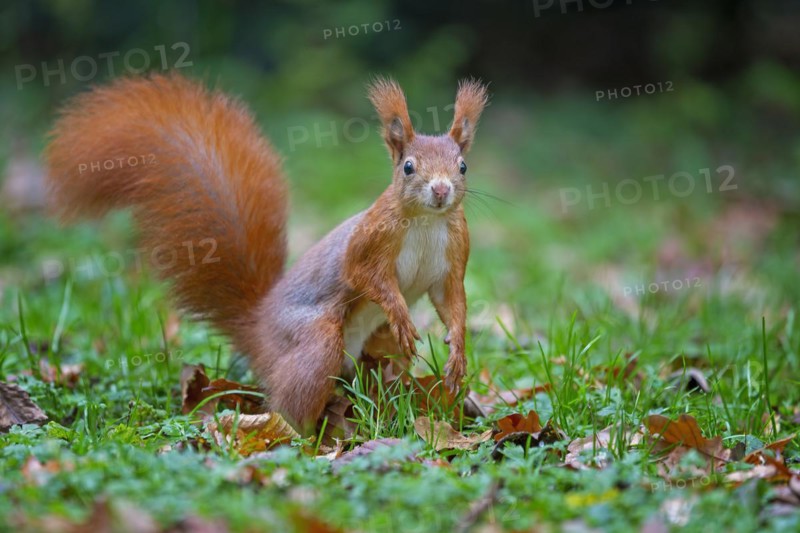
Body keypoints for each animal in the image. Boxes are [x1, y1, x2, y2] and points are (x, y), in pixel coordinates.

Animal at [45, 73, 488, 432]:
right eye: (408, 167)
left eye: (463, 166)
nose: (441, 190)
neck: (427, 221)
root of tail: (257, 327)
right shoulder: (370, 239)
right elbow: (363, 274)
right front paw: (398, 309)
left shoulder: (455, 253)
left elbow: (450, 300)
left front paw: (458, 352)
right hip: (313, 340)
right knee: (293, 401)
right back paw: (280, 431)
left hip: (378, 349)